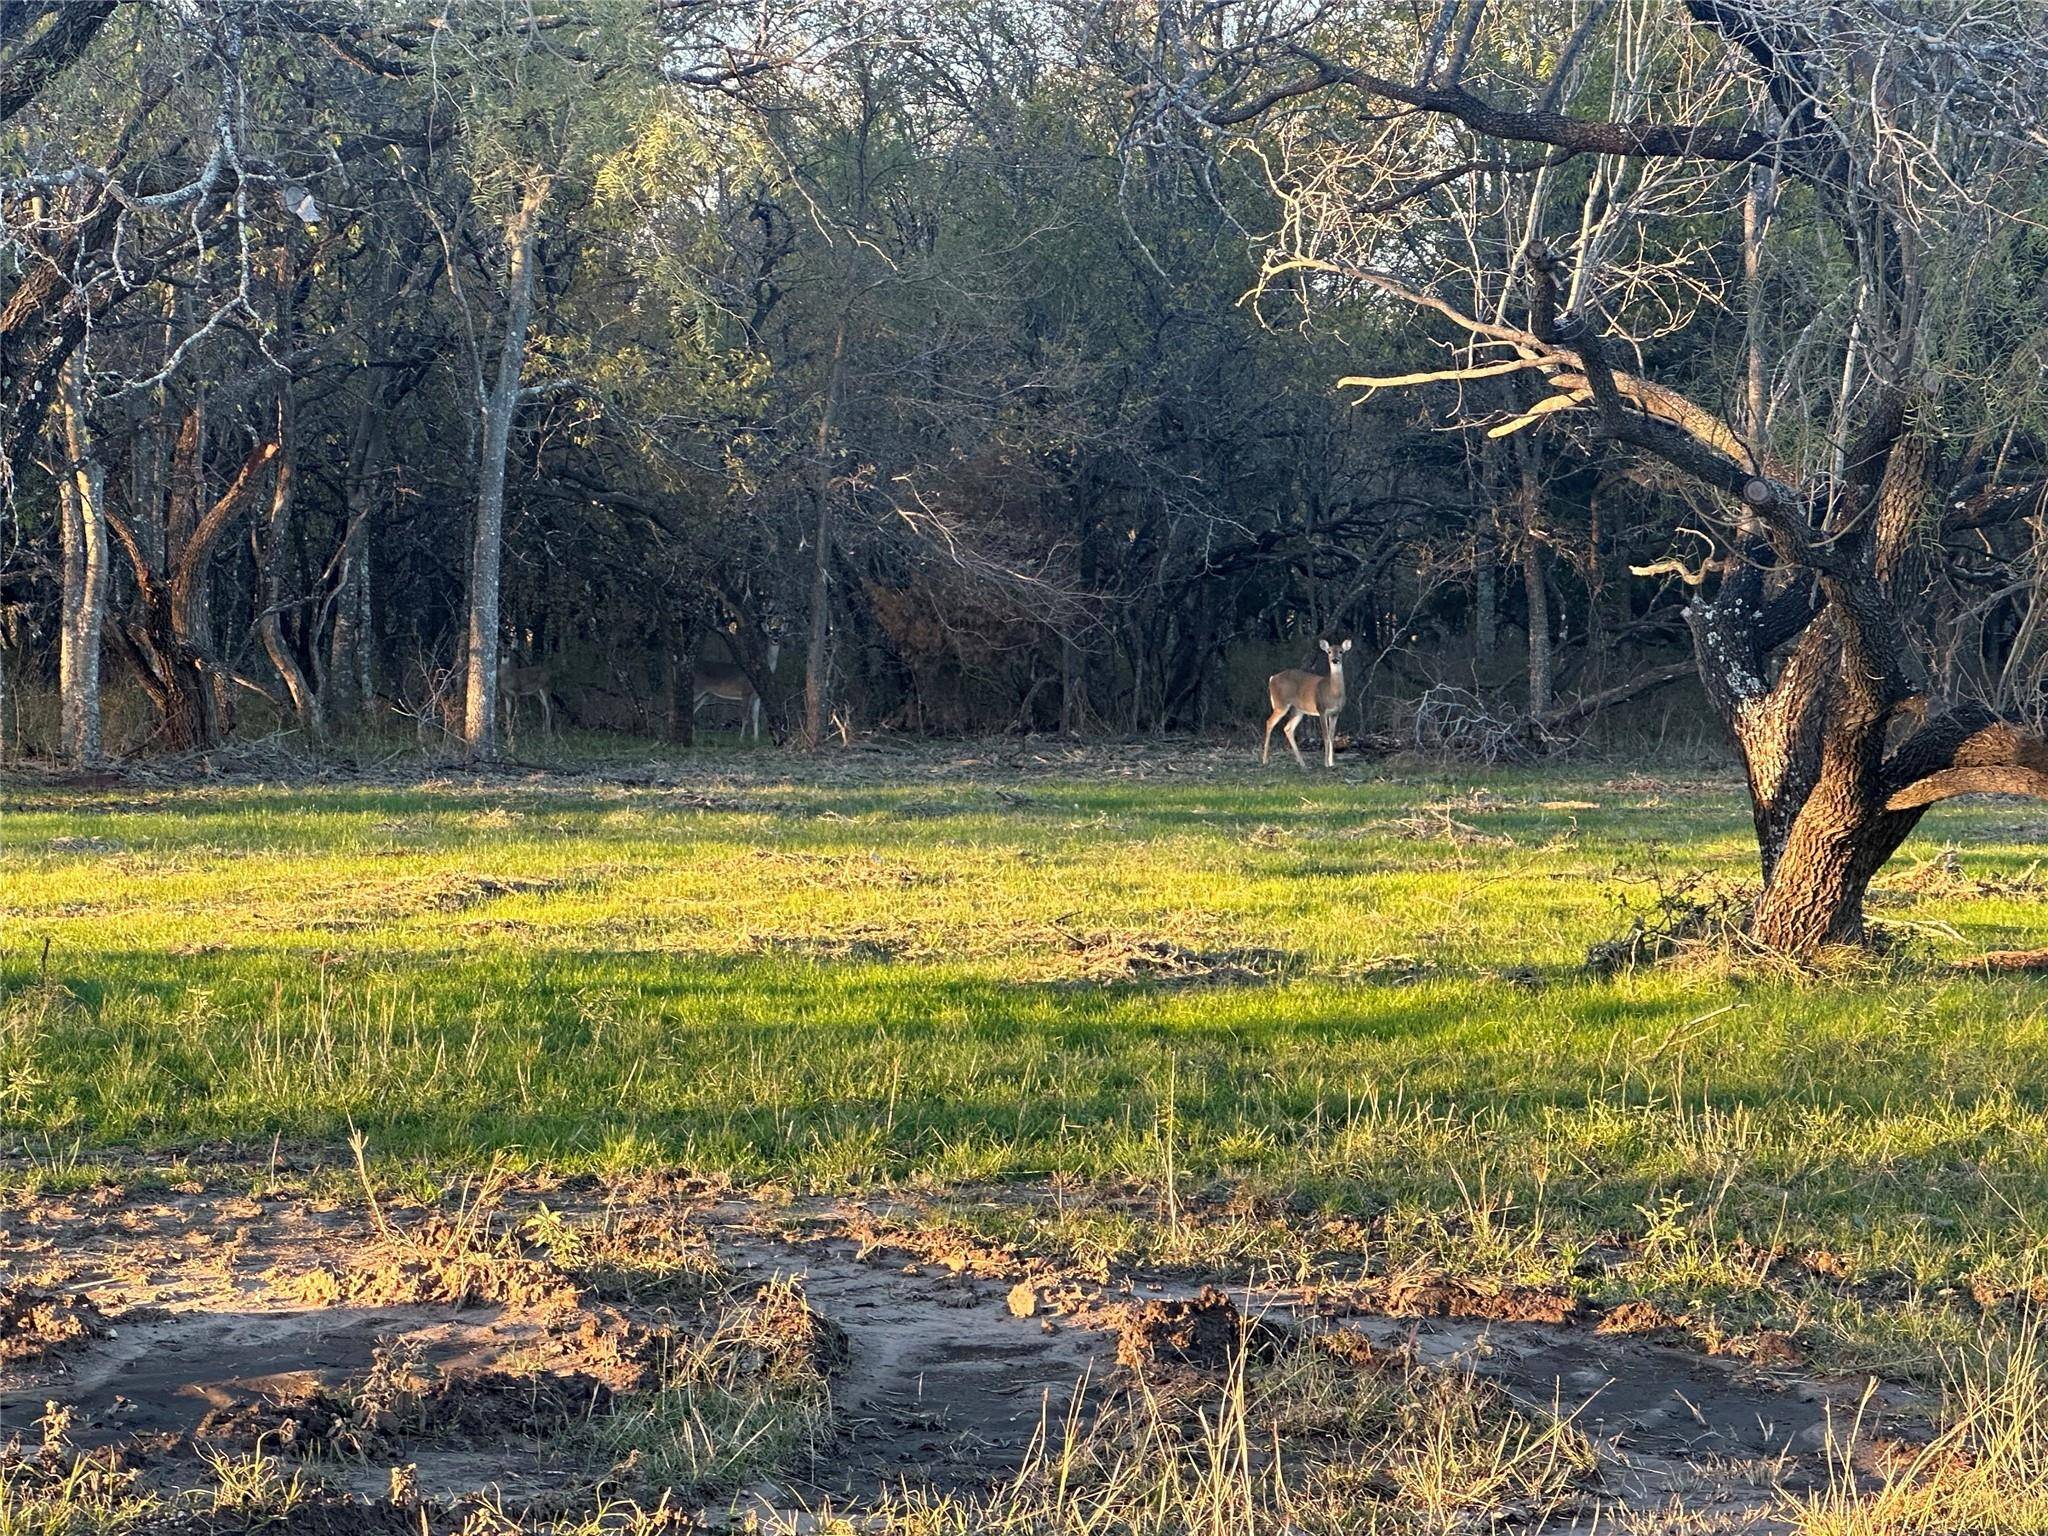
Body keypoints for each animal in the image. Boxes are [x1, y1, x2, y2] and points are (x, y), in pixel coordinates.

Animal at [1253, 638, 1351, 774]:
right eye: (1329, 652)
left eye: (1341, 651)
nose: (1335, 660)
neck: (1333, 691)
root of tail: (1272, 678)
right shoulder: (1321, 709)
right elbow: (1325, 736)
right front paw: (1326, 764)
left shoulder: (1335, 713)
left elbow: (1332, 736)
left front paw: (1332, 763)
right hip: (1280, 704)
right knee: (1269, 722)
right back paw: (1265, 760)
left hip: (1298, 710)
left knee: (1288, 728)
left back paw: (1302, 764)